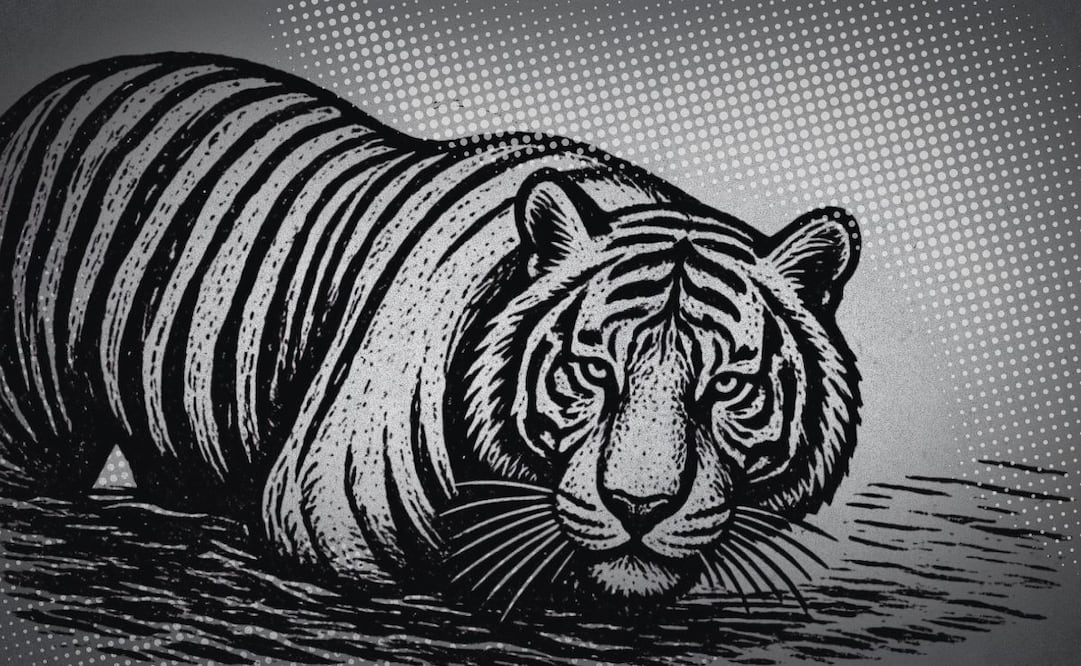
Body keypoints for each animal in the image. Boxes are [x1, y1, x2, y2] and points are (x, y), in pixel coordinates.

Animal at [0, 52, 861, 615]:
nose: (638, 507)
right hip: (33, 422)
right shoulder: (328, 536)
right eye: (593, 373)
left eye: (728, 386)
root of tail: (57, 86)